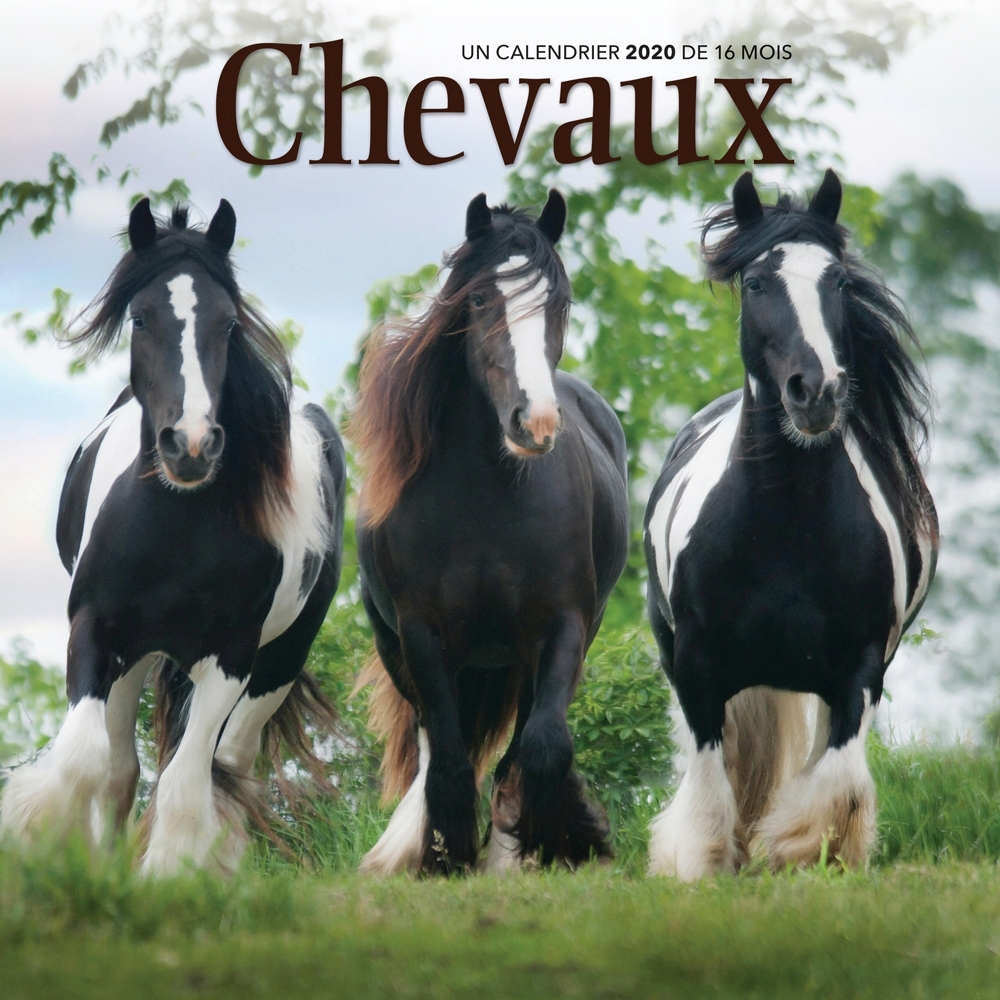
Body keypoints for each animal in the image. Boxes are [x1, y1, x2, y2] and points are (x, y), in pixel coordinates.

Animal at [0, 198, 346, 875]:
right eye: (140, 318)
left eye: (229, 323)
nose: (189, 445)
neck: (174, 534)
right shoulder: (94, 628)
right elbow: (87, 760)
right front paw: (52, 853)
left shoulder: (231, 659)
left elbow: (188, 783)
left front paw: (170, 876)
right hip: (135, 655)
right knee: (119, 765)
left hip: (276, 665)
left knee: (229, 766)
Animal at [351, 190, 630, 874]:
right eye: (478, 299)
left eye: (560, 301)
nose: (535, 421)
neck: (487, 502)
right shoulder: (423, 636)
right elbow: (449, 764)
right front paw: (445, 859)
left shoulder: (561, 628)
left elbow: (542, 746)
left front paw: (547, 846)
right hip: (403, 651)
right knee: (434, 744)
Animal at [643, 170, 938, 879]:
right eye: (756, 283)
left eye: (838, 282)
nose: (816, 392)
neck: (784, 523)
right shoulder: (696, 666)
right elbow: (708, 781)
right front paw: (702, 861)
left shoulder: (859, 670)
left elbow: (834, 782)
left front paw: (803, 855)